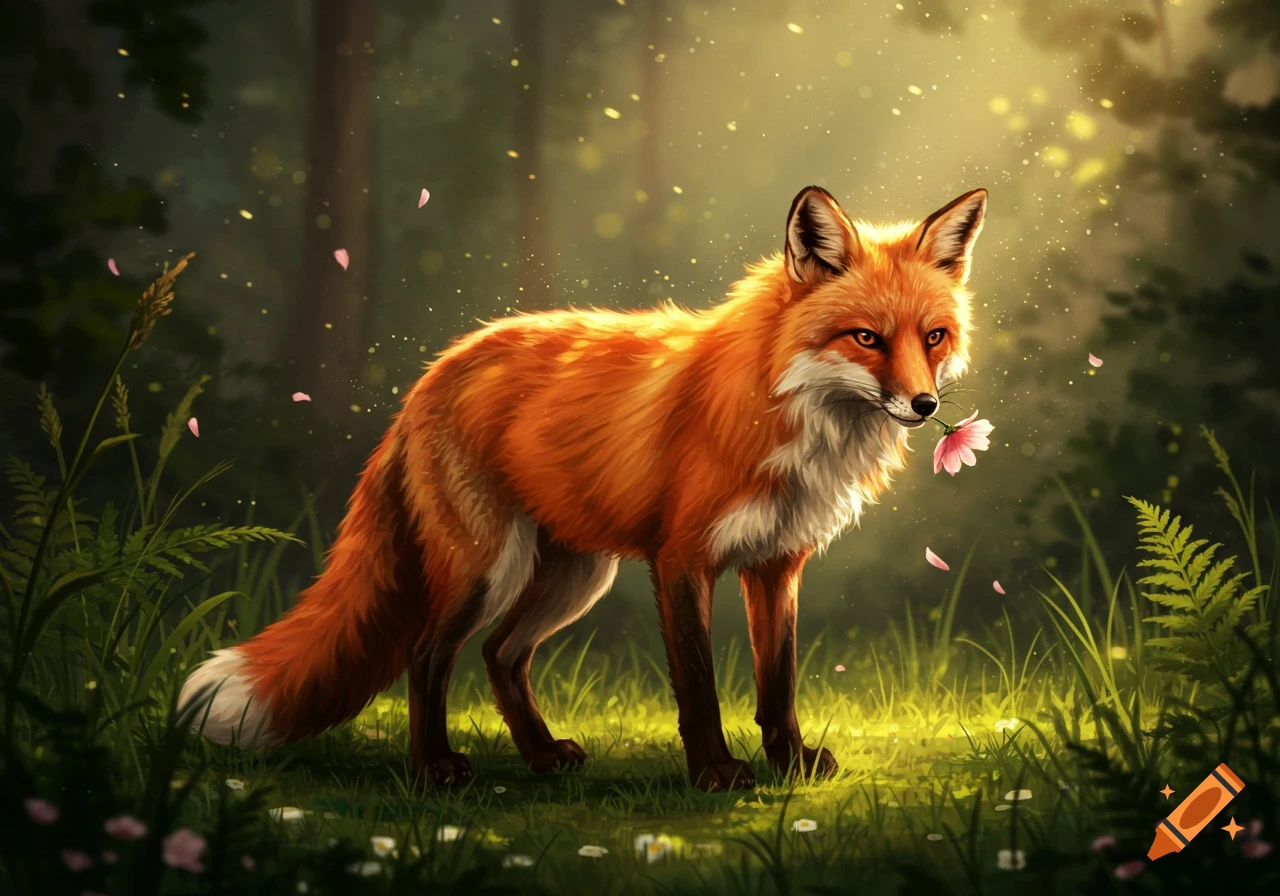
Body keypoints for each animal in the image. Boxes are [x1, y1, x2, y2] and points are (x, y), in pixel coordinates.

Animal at [178, 184, 988, 792]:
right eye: (866, 338)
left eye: (934, 337)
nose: (925, 406)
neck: (784, 411)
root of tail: (436, 370)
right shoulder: (682, 559)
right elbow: (698, 686)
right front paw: (715, 775)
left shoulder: (775, 563)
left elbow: (778, 685)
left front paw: (789, 767)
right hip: (488, 568)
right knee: (428, 653)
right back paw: (434, 768)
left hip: (572, 576)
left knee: (500, 655)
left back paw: (540, 756)